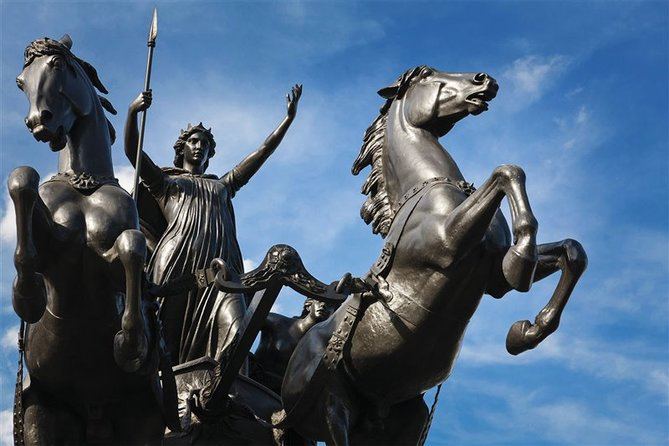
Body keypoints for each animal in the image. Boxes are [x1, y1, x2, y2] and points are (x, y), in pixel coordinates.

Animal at [12, 36, 175, 444]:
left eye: (57, 64)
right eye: (21, 82)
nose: (38, 122)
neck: (85, 183)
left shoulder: (111, 256)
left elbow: (133, 247)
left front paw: (131, 343)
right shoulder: (58, 246)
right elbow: (22, 178)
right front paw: (28, 295)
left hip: (141, 417)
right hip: (42, 413)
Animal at [276, 64, 584, 444]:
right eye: (426, 74)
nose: (485, 80)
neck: (431, 185)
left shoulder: (492, 276)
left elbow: (572, 252)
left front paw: (526, 333)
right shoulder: (448, 244)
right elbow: (507, 170)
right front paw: (522, 261)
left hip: (405, 422)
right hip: (332, 408)